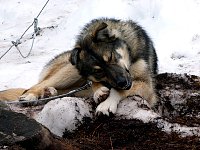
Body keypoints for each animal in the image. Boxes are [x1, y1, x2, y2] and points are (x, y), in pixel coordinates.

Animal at [1, 18, 158, 115]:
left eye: (111, 57)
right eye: (99, 71)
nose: (122, 82)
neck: (129, 54)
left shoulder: (147, 86)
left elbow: (118, 90)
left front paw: (107, 103)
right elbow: (95, 83)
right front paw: (100, 91)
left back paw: (48, 93)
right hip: (70, 70)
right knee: (36, 85)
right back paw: (32, 95)